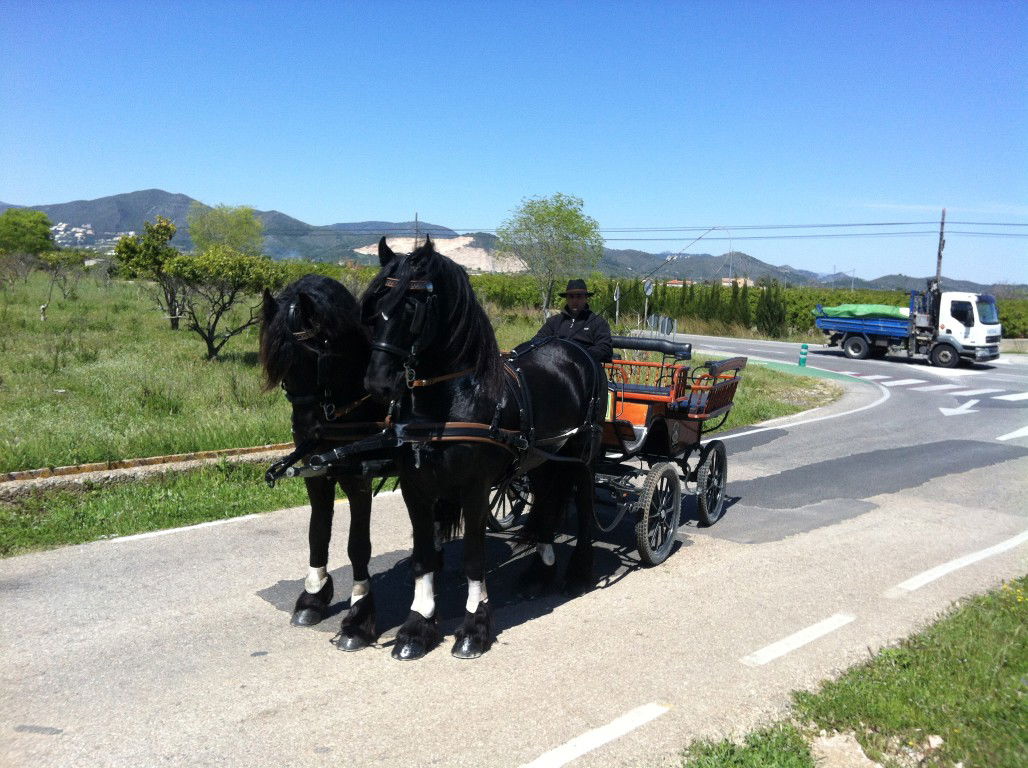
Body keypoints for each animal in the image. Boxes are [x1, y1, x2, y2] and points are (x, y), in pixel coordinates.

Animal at [257, 275, 386, 649]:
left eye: (311, 360)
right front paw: (313, 596)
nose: (305, 432)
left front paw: (359, 614)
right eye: (281, 370)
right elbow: (318, 533)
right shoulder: (316, 474)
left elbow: (358, 545)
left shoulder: (358, 478)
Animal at [361, 238, 600, 662]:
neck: (452, 398)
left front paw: (474, 628)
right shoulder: (416, 489)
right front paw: (416, 628)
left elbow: (474, 558)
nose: (377, 383)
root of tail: (576, 349)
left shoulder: (473, 489)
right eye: (374, 306)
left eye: (411, 306)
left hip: (582, 455)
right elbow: (423, 558)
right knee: (548, 501)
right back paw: (539, 574)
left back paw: (578, 572)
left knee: (584, 504)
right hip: (542, 457)